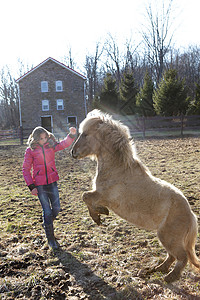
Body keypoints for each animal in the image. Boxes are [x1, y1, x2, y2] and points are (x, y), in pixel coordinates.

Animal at [72, 109, 200, 282]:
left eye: (85, 134)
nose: (73, 152)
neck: (118, 169)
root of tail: (191, 214)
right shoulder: (101, 195)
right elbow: (86, 197)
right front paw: (100, 215)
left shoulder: (104, 196)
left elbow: (85, 196)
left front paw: (99, 215)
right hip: (167, 238)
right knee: (172, 257)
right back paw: (157, 270)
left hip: (168, 238)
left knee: (182, 257)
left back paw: (169, 277)